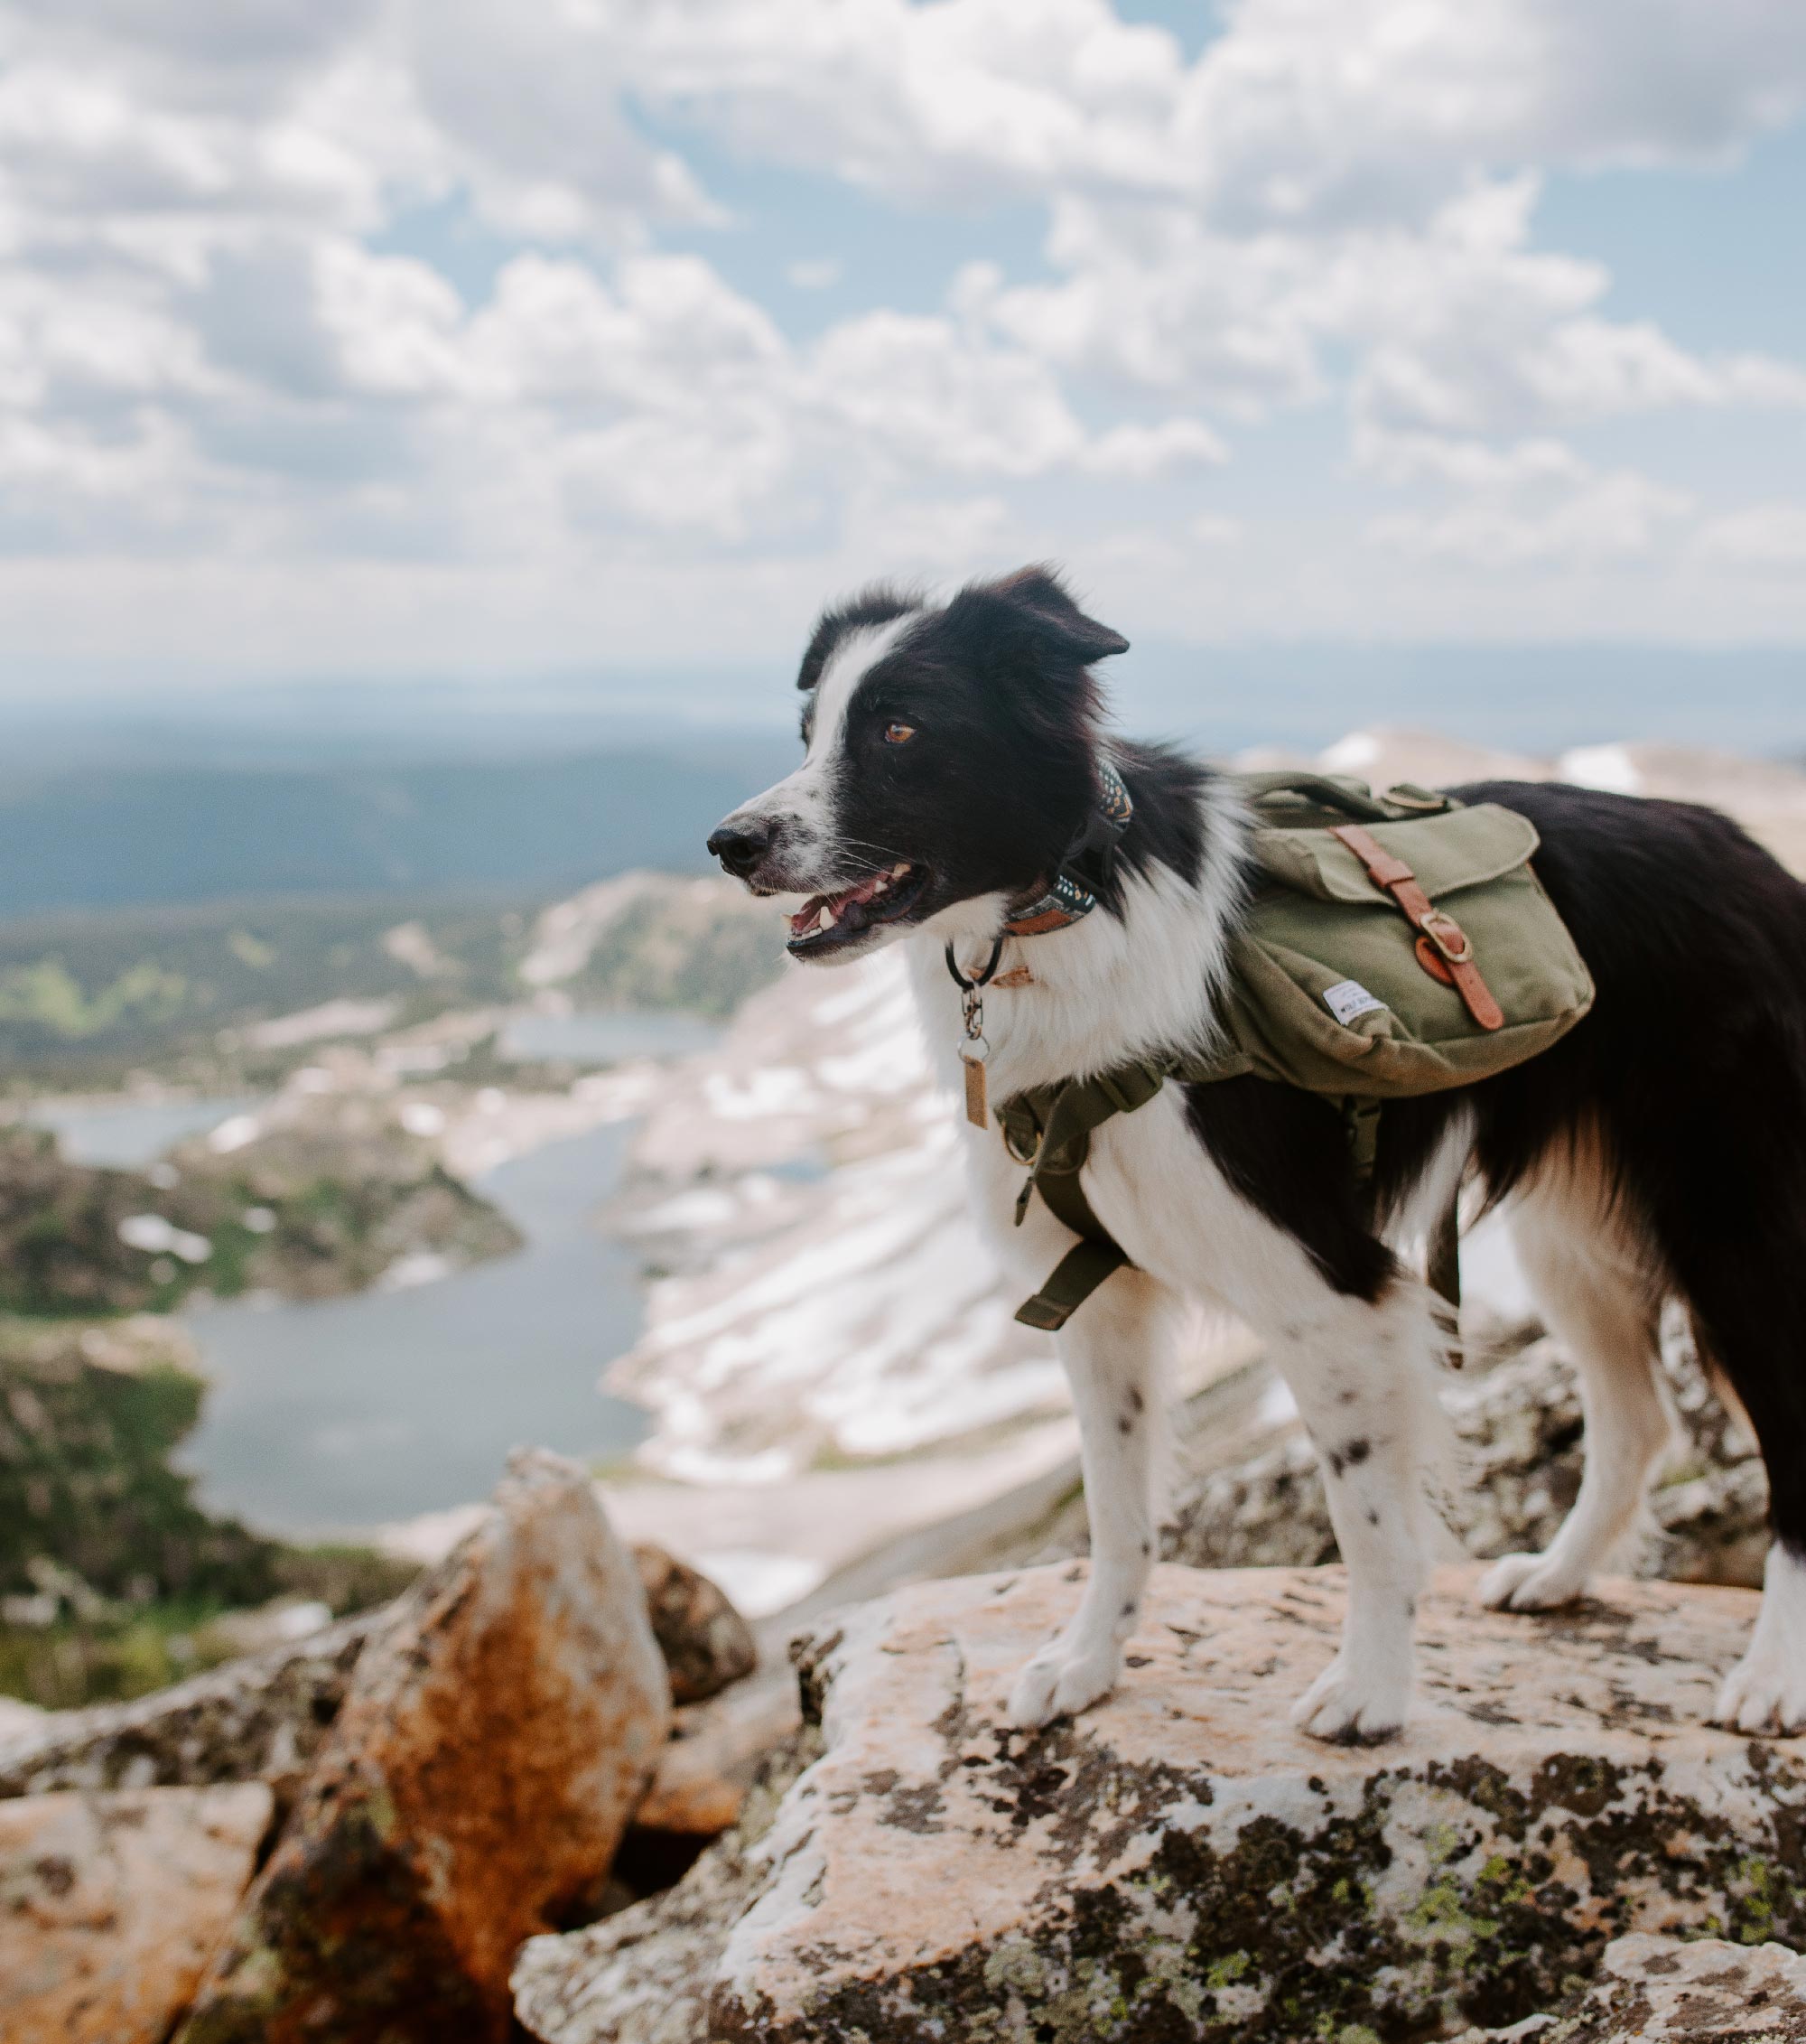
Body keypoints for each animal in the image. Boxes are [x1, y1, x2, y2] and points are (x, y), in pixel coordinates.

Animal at [706, 568, 1806, 1750]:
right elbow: (1117, 1510)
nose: (727, 843)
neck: (1069, 911)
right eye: (810, 731)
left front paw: (1369, 1691)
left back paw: (1771, 1674)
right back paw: (1556, 1575)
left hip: (1732, 1222)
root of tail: (1756, 858)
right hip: (1572, 1237)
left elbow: (1363, 1515)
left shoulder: (1329, 1289)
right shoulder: (1095, 1300)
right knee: (1636, 1418)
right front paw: (1086, 1664)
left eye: (900, 731)